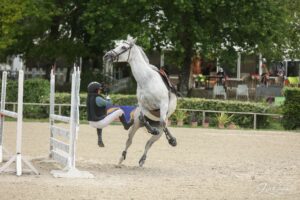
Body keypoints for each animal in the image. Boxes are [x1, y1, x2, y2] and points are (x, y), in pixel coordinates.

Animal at [104, 35, 177, 166]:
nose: (106, 55)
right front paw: (151, 129)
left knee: (149, 143)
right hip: (135, 126)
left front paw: (172, 140)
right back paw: (122, 158)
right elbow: (143, 117)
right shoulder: (142, 105)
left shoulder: (163, 104)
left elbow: (163, 122)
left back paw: (145, 157)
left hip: (158, 135)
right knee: (129, 141)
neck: (147, 79)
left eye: (123, 47)